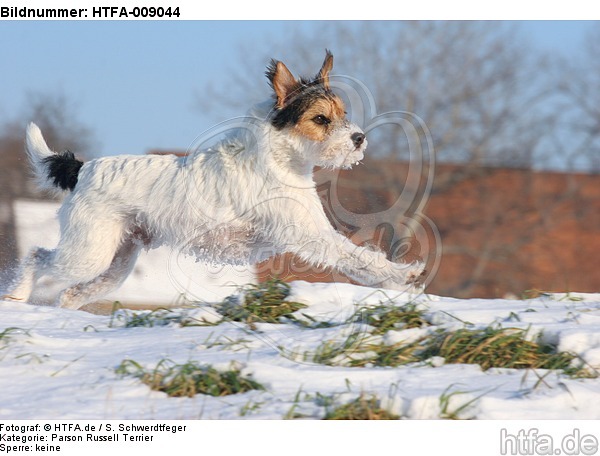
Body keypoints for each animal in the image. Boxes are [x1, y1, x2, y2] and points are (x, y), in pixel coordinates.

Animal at [4, 52, 426, 310]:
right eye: (321, 119)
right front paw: (402, 274)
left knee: (72, 291)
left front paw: (399, 284)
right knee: (37, 256)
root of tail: (84, 169)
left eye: (343, 112)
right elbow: (356, 257)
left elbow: (357, 260)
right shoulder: (310, 235)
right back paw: (16, 297)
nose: (359, 139)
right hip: (87, 252)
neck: (279, 159)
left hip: (115, 261)